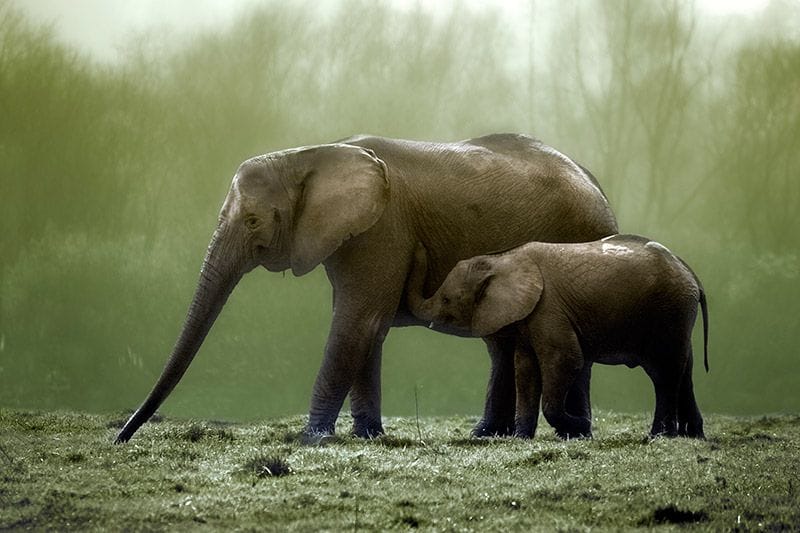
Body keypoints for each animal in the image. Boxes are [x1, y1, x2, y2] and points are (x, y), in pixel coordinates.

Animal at [114, 135, 620, 442]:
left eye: (254, 220)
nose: (120, 438)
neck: (310, 154)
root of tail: (597, 185)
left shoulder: (382, 229)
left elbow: (356, 322)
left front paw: (312, 440)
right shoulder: (354, 237)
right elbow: (366, 328)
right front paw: (368, 435)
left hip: (580, 239)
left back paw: (574, 433)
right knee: (501, 341)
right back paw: (486, 436)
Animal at [410, 235, 708, 438]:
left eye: (447, 300)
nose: (419, 247)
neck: (502, 258)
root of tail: (692, 275)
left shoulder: (549, 309)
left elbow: (565, 360)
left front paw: (579, 427)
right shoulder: (527, 316)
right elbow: (525, 368)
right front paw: (521, 439)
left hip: (670, 311)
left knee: (664, 373)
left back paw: (659, 436)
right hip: (679, 316)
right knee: (685, 371)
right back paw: (691, 437)